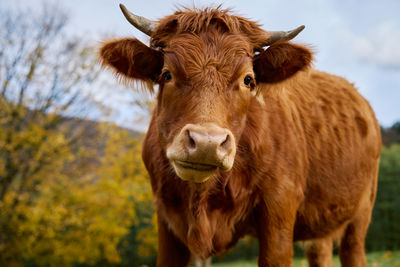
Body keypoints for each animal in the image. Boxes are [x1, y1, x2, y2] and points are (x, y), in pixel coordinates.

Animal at [99, 4, 382, 267]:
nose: (207, 143)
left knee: (353, 251)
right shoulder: (165, 213)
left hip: (361, 213)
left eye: (248, 80)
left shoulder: (279, 209)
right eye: (166, 74)